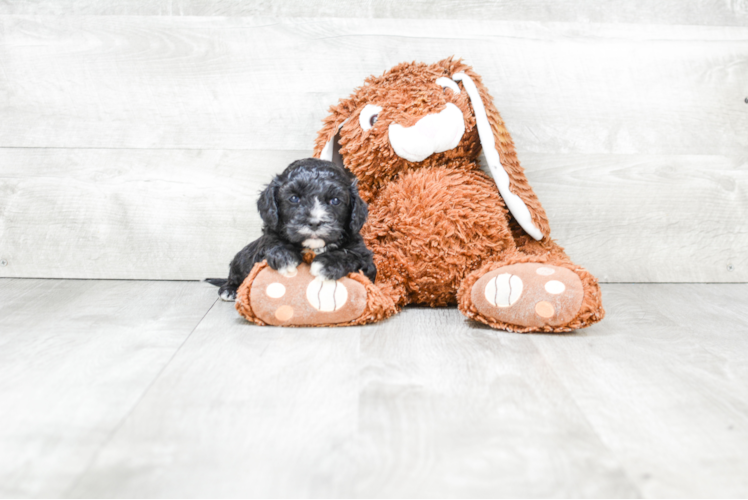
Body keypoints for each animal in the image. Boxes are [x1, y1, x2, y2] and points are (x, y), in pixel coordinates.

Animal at [206, 158, 374, 302]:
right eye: (294, 198)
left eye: (335, 201)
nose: (314, 222)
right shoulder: (265, 243)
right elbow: (273, 243)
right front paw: (284, 256)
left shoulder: (366, 260)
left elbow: (351, 255)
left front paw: (327, 264)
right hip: (240, 258)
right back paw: (229, 289)